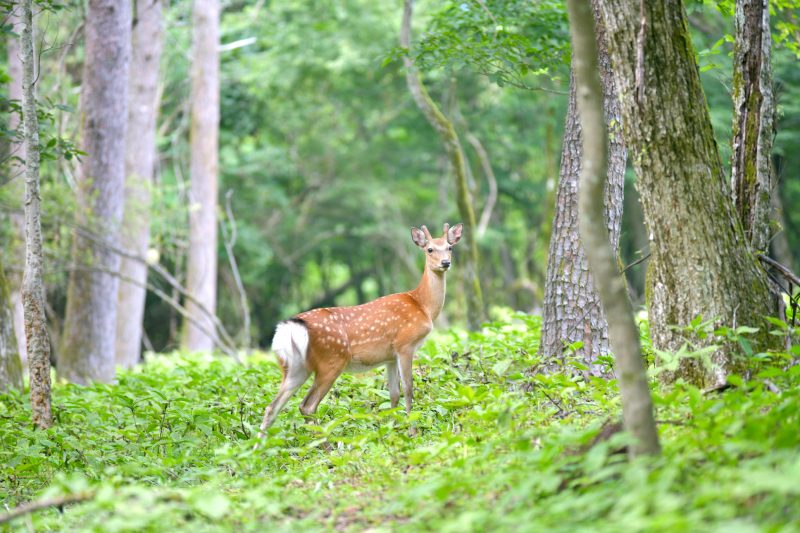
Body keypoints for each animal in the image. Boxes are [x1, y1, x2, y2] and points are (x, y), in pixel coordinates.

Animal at [256, 221, 462, 444]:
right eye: (430, 249)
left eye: (450, 247)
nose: (445, 262)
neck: (422, 306)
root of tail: (291, 328)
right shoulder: (405, 345)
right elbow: (408, 390)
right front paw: (411, 433)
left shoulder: (390, 356)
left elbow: (393, 394)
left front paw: (394, 431)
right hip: (331, 360)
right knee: (307, 406)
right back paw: (325, 445)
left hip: (294, 367)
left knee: (271, 408)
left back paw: (258, 448)